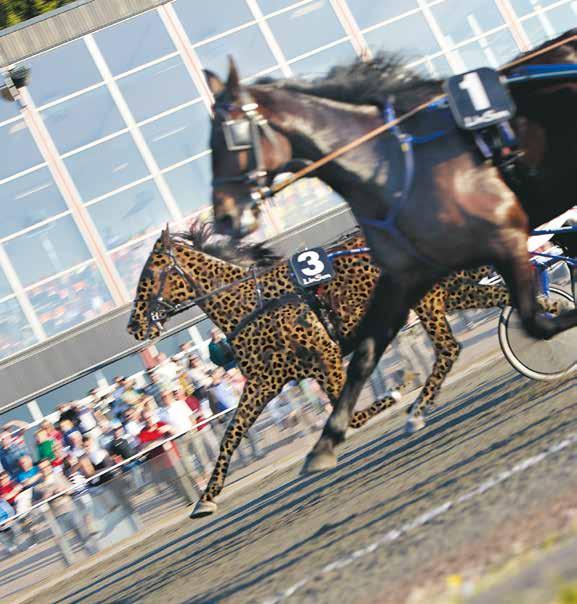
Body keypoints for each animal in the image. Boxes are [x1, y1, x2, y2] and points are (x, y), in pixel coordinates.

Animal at [207, 31, 577, 472]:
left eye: (232, 134)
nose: (224, 215)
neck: (389, 166)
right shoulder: (406, 275)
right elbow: (365, 356)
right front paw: (325, 443)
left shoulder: (505, 237)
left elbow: (537, 322)